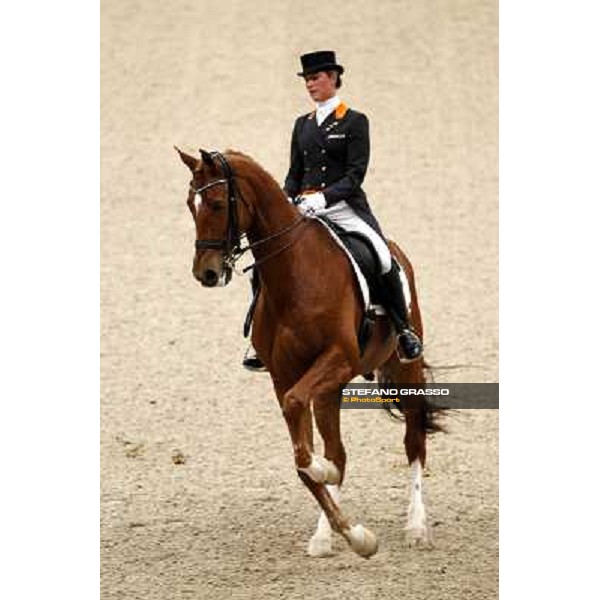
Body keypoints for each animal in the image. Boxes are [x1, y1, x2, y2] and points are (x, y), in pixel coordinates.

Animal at [176, 145, 442, 556]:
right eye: (192, 204)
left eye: (218, 204)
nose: (206, 273)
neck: (294, 275)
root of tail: (397, 250)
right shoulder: (284, 376)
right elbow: (303, 453)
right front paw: (355, 534)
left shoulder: (339, 359)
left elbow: (304, 436)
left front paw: (323, 475)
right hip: (330, 388)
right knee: (339, 451)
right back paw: (326, 535)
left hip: (402, 370)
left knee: (414, 439)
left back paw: (416, 526)